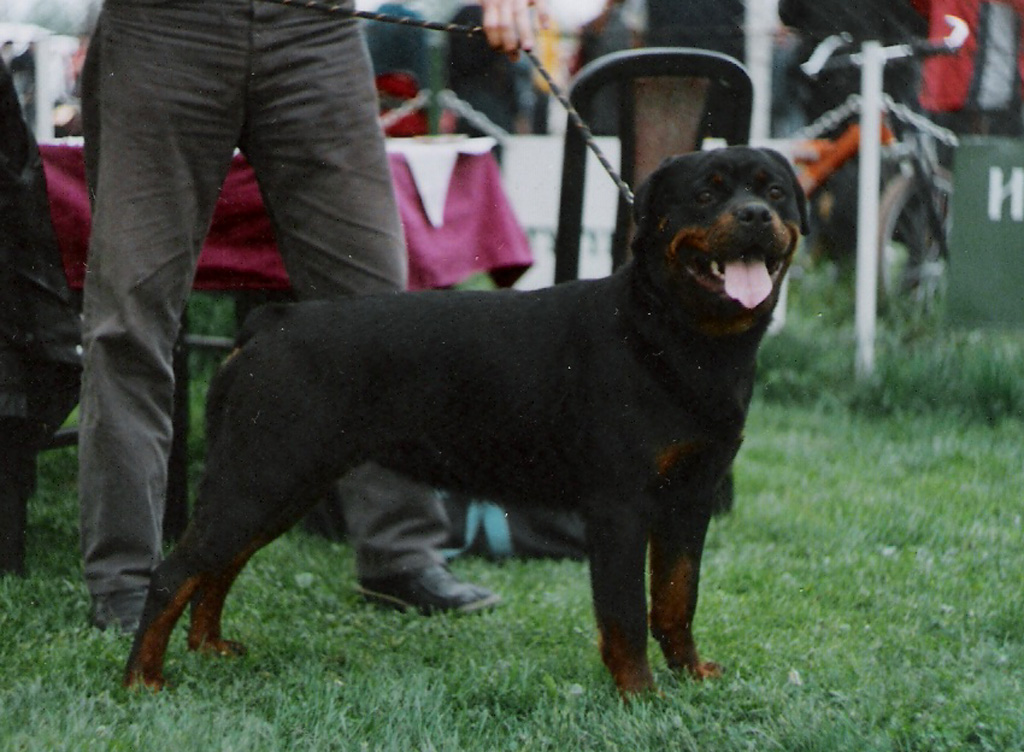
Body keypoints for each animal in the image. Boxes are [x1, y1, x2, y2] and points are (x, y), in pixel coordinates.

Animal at [123, 146, 807, 696]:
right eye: (706, 194)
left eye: (774, 191)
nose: (754, 215)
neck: (675, 336)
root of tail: (271, 324)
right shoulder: (620, 506)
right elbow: (627, 613)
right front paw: (639, 692)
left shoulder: (688, 499)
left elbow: (676, 598)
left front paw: (691, 672)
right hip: (263, 473)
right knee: (175, 571)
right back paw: (143, 680)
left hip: (282, 482)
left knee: (219, 567)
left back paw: (209, 646)